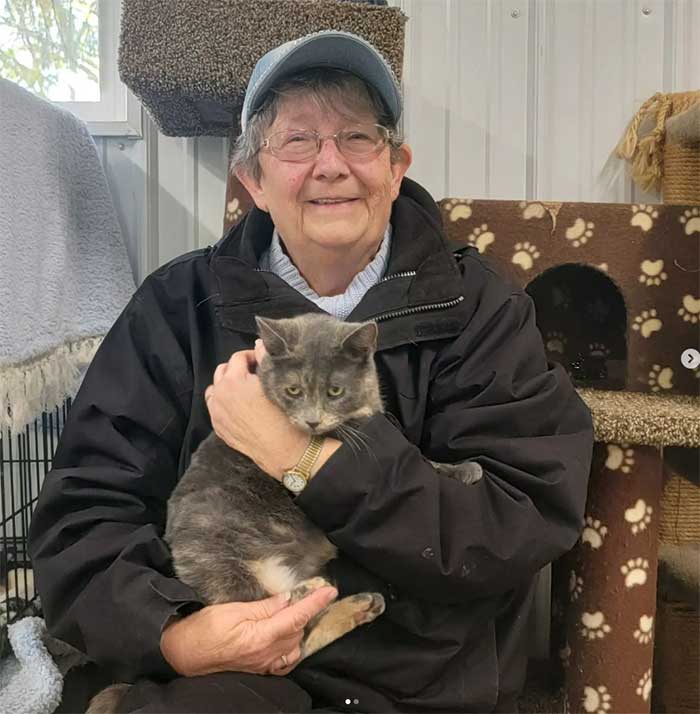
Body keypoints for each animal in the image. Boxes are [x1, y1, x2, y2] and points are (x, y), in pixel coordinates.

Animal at [86, 312, 482, 712]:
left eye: (334, 391)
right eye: (293, 391)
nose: (312, 421)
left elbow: (412, 455)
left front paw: (463, 469)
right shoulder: (351, 438)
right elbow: (414, 456)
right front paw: (464, 469)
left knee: (298, 644)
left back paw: (359, 604)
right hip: (222, 561)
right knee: (277, 635)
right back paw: (313, 592)